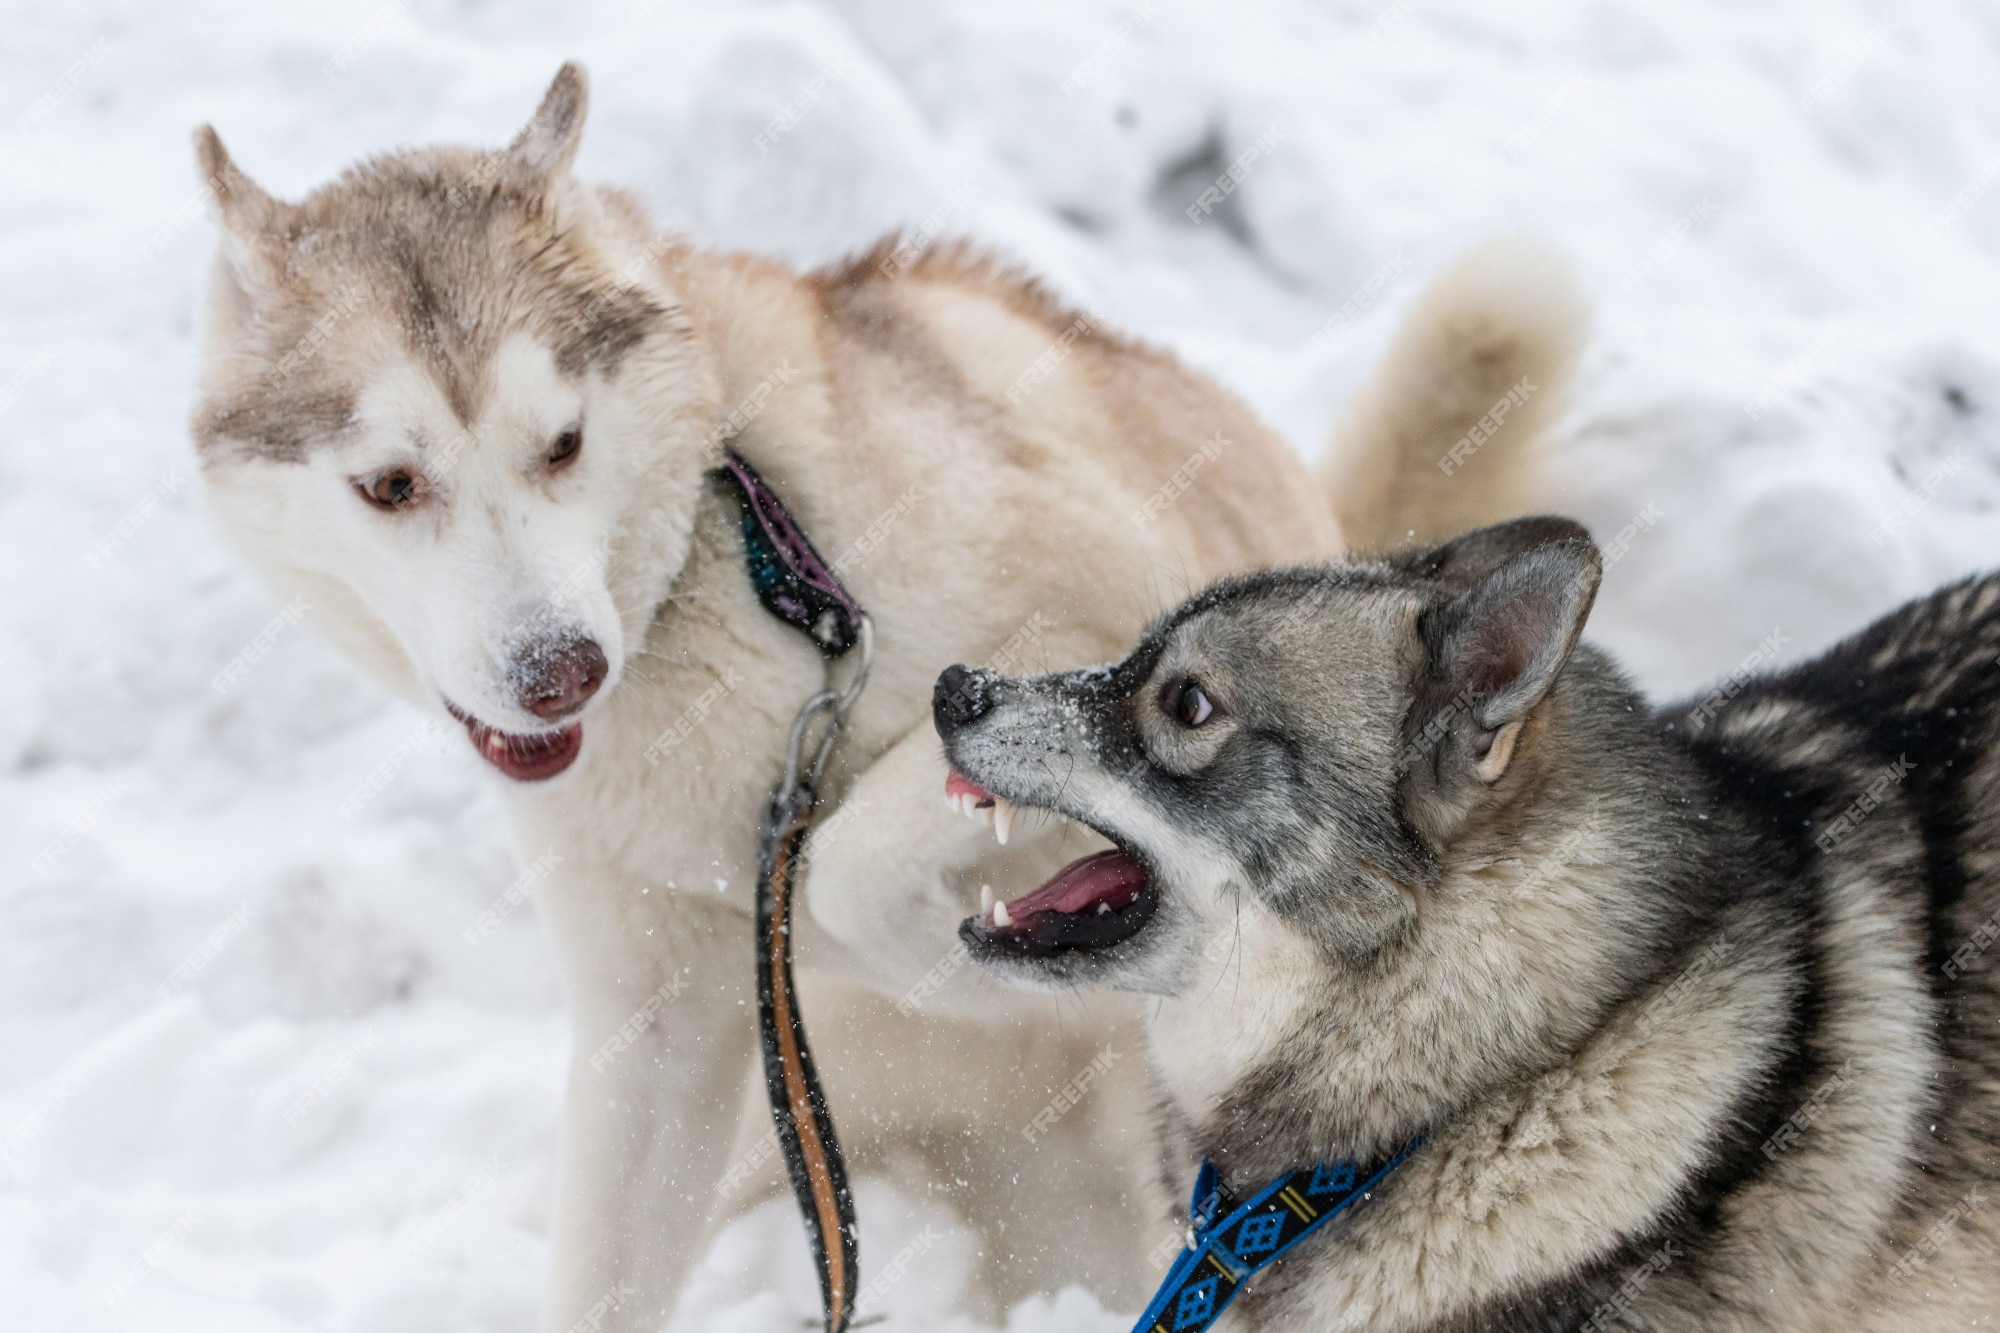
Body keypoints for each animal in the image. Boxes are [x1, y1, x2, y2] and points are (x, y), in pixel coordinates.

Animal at [191, 65, 1592, 1328]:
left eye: (562, 444)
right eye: (389, 485)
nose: (559, 669)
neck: (715, 576)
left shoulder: (1092, 632)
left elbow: (850, 863)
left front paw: (938, 955)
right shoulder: (655, 1032)